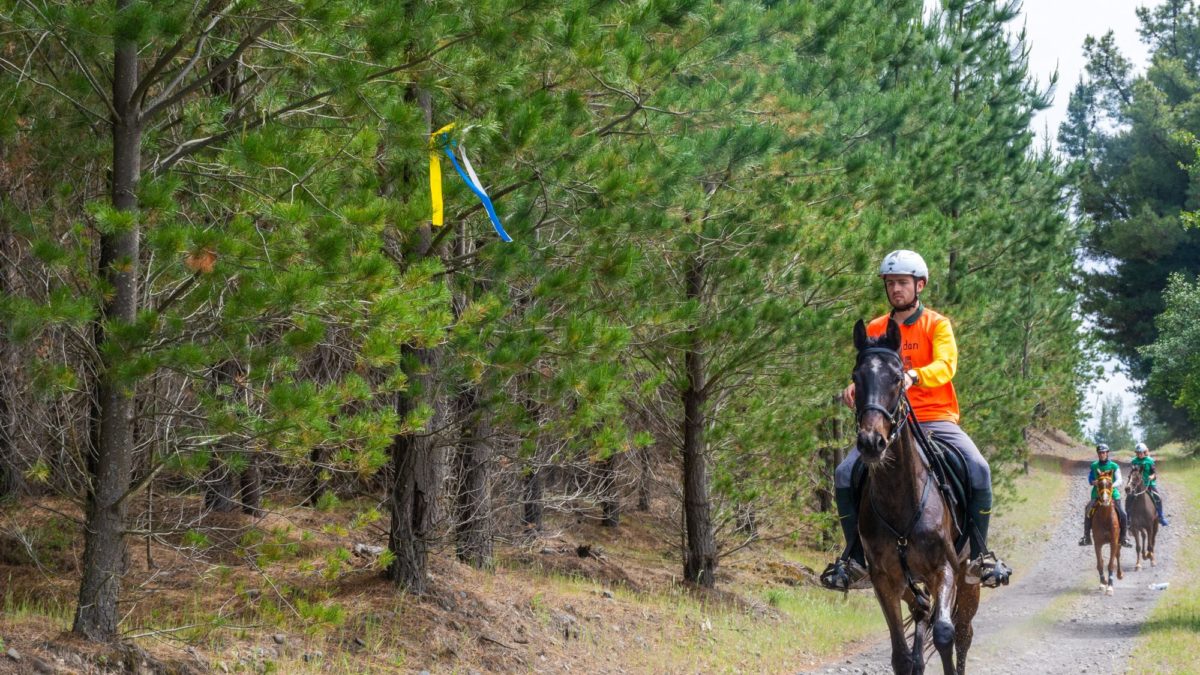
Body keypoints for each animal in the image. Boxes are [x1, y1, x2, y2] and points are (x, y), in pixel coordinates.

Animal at [849, 319, 979, 672]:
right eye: (855, 378)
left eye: (897, 377)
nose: (871, 442)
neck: (900, 500)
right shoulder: (884, 579)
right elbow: (900, 655)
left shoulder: (944, 569)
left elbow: (945, 635)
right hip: (910, 584)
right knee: (921, 613)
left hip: (967, 579)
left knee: (963, 633)